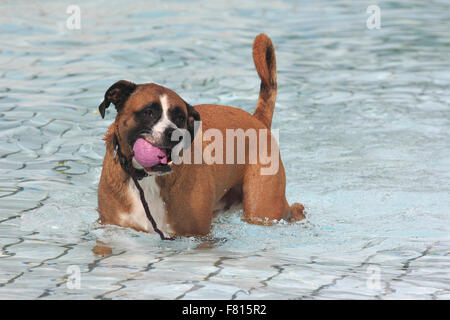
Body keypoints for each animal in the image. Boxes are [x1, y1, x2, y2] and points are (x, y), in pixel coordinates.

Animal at [96, 34, 304, 238]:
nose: (174, 134)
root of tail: (258, 120)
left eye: (180, 117)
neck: (145, 178)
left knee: (292, 210)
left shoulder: (199, 235)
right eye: (148, 112)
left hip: (263, 208)